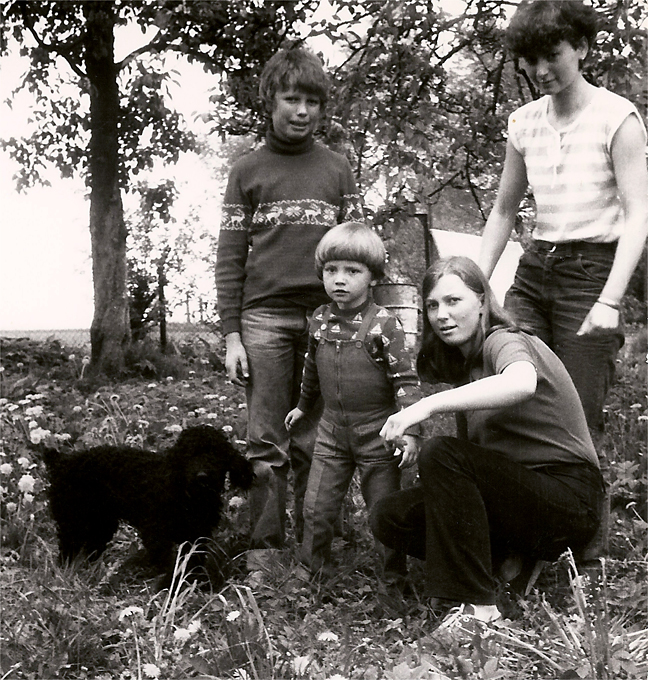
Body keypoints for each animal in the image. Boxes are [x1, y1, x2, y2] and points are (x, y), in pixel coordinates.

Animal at [42, 425, 254, 586]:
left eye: (216, 454)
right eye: (188, 455)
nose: (202, 476)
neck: (188, 495)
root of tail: (62, 461)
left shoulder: (196, 535)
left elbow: (193, 560)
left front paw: (196, 582)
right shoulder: (157, 534)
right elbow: (168, 562)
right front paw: (169, 584)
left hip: (100, 522)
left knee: (91, 547)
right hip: (72, 518)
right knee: (68, 547)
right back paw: (66, 571)